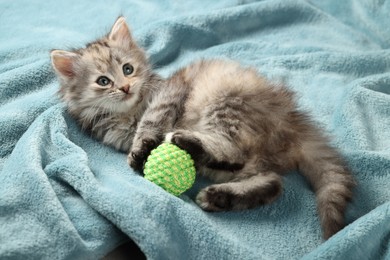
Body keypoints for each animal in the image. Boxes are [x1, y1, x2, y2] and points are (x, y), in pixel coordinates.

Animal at [51, 16, 356, 240]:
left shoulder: (170, 92)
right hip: (245, 159)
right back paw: (220, 197)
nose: (125, 87)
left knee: (233, 153)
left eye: (128, 69)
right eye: (103, 81)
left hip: (226, 108)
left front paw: (142, 147)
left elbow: (152, 120)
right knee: (271, 183)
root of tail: (291, 119)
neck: (128, 111)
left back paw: (188, 144)